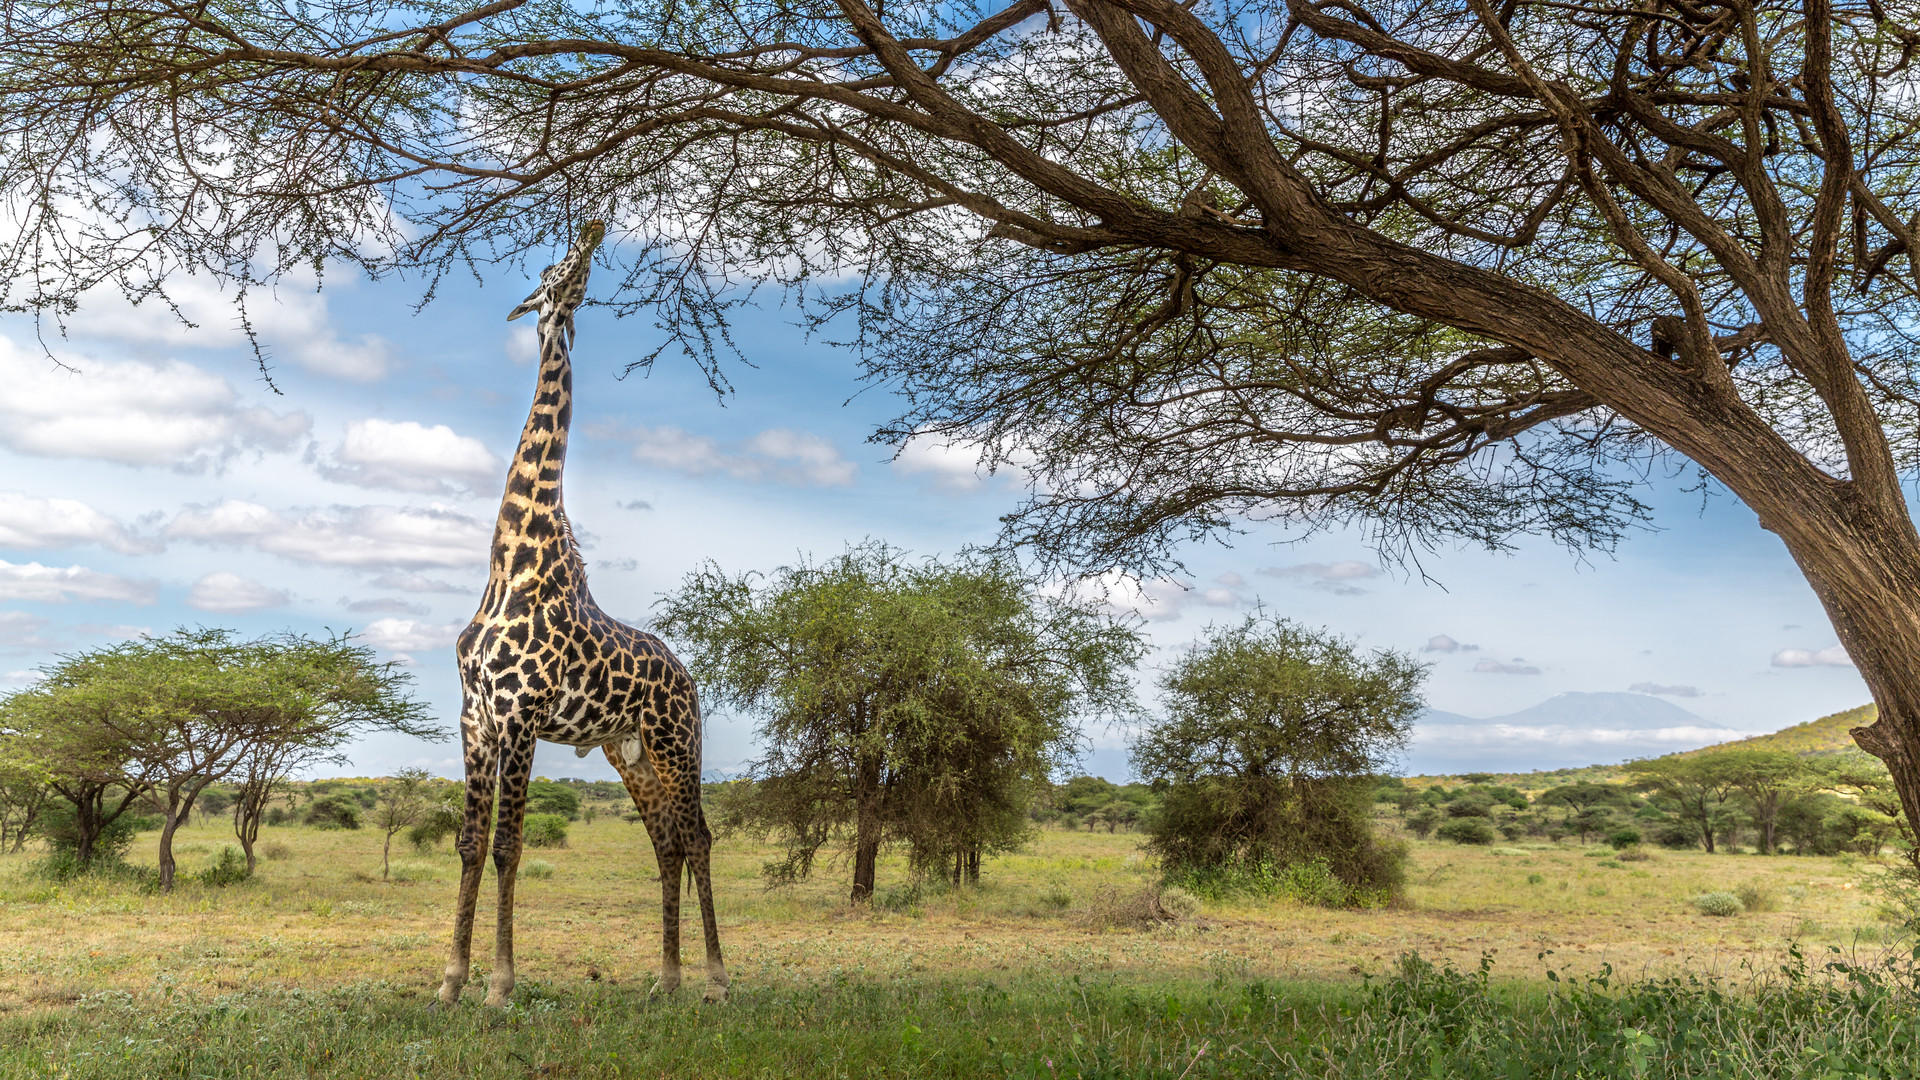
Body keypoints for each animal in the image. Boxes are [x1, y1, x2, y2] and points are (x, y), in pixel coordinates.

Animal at [439, 222, 729, 1006]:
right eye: (553, 269)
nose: (592, 229)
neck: (513, 562)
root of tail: (689, 677)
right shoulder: (476, 719)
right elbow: (471, 844)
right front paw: (451, 980)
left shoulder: (521, 717)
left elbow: (509, 846)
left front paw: (500, 985)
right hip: (627, 750)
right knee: (666, 840)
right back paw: (667, 979)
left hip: (676, 741)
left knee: (697, 837)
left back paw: (717, 980)